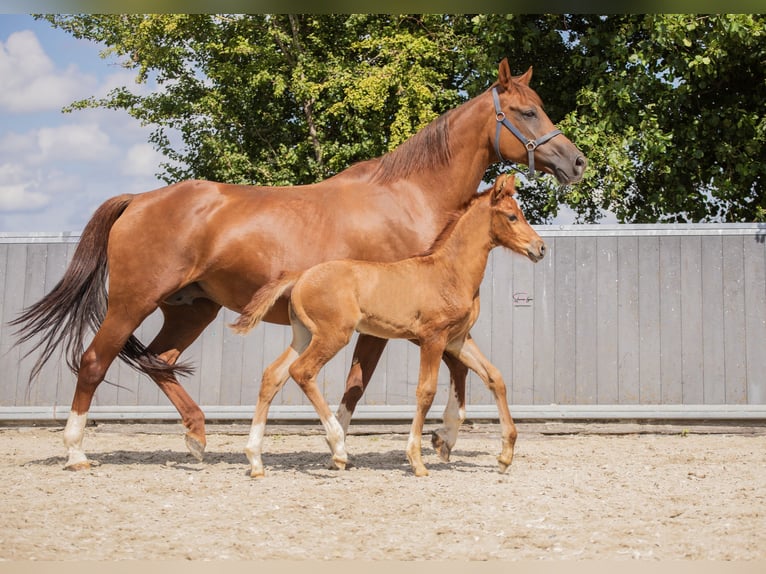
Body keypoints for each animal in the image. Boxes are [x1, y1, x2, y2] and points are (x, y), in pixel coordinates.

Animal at [232, 173, 542, 477]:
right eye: (512, 216)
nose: (540, 248)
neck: (449, 273)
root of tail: (301, 275)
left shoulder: (458, 340)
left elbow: (495, 377)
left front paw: (505, 457)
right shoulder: (433, 338)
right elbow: (426, 391)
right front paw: (416, 460)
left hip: (304, 335)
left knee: (273, 375)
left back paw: (255, 460)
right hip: (333, 335)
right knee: (302, 371)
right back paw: (338, 449)